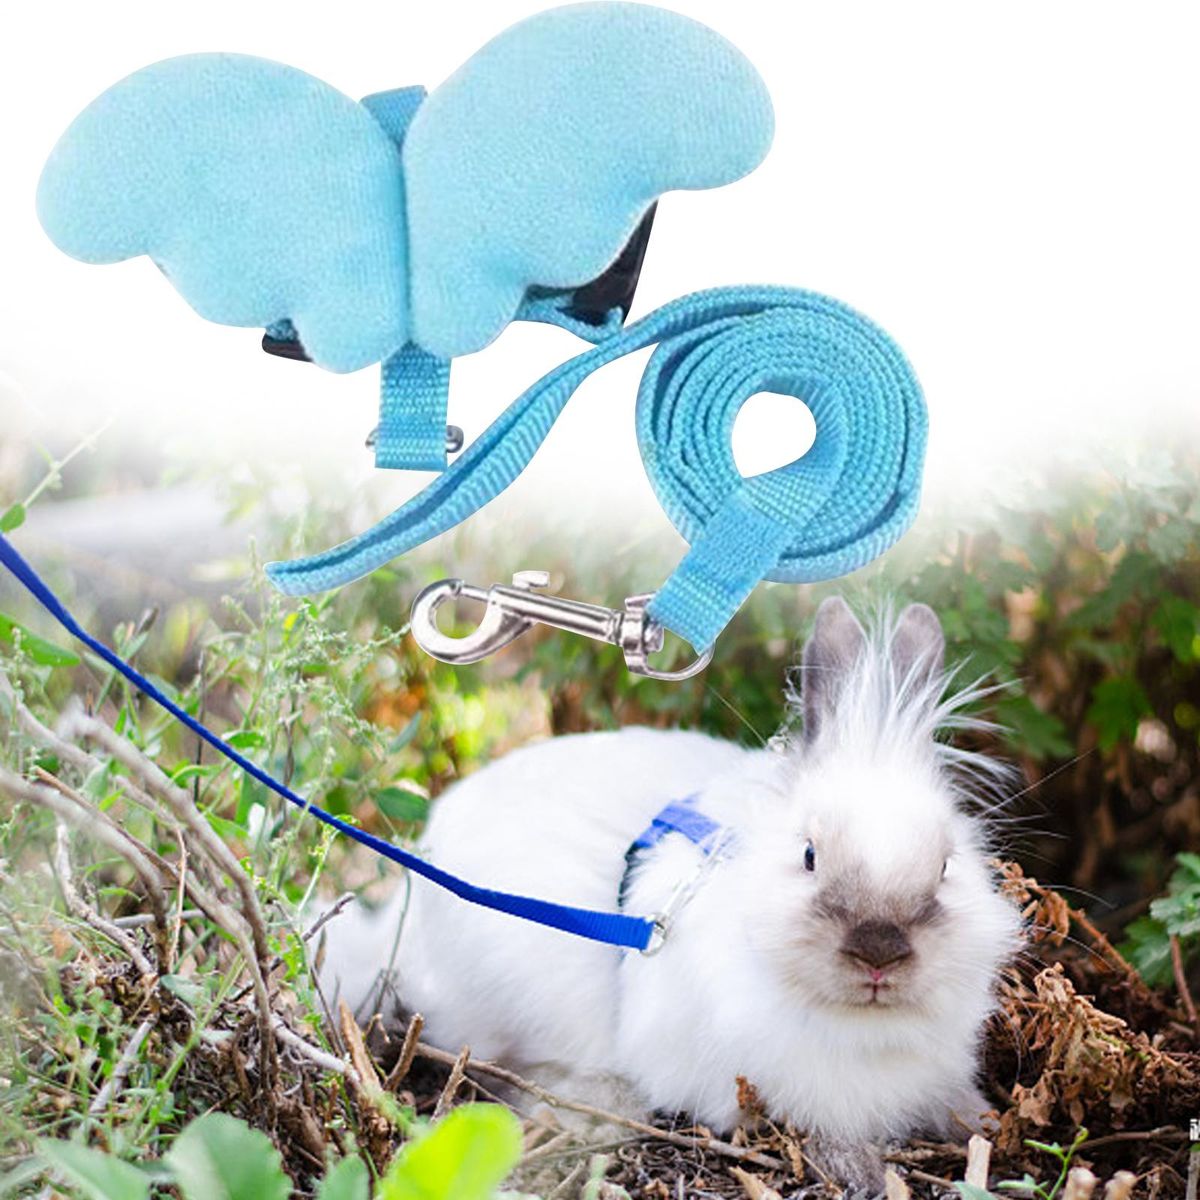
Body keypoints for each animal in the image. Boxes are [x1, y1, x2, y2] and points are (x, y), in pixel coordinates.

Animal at [321, 599, 1023, 1192]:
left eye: (945, 866)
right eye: (809, 856)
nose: (879, 953)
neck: (862, 1029)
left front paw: (986, 1127)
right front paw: (862, 1171)